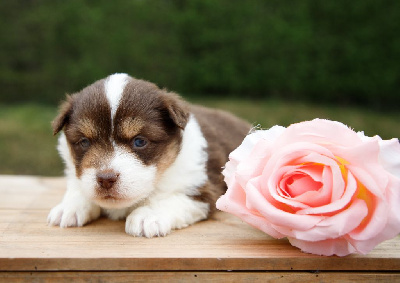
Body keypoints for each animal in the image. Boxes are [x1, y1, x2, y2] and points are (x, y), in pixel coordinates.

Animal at [48, 73, 250, 237]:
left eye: (139, 141)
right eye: (84, 142)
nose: (106, 179)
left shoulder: (202, 190)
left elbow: (171, 198)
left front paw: (148, 215)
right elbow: (78, 187)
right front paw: (68, 208)